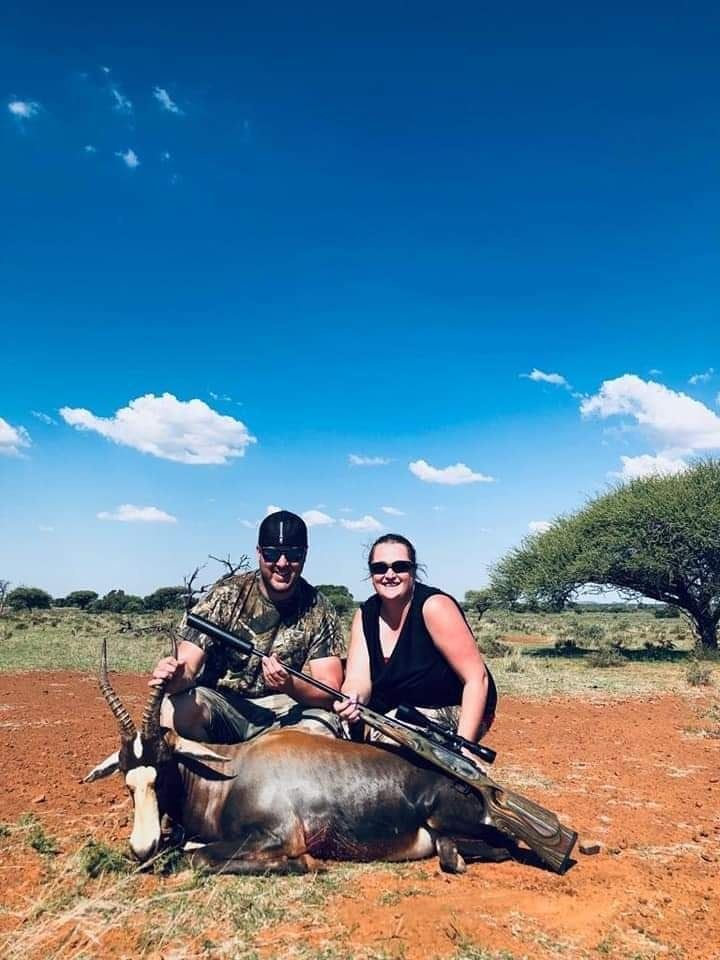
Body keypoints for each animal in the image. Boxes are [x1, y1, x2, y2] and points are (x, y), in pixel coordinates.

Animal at [85, 642, 516, 875]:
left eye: (163, 768)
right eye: (127, 779)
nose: (142, 847)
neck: (229, 772)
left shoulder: (276, 836)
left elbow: (200, 857)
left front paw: (305, 865)